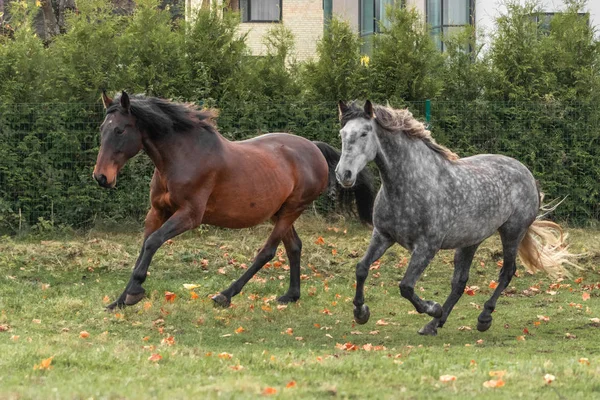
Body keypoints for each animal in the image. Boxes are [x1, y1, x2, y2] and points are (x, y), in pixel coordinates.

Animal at [94, 91, 376, 310]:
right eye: (101, 129)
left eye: (119, 130)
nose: (101, 177)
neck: (182, 156)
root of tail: (315, 148)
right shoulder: (157, 212)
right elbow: (144, 247)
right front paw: (121, 299)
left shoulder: (189, 215)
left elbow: (153, 242)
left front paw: (134, 292)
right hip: (280, 211)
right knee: (294, 247)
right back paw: (290, 296)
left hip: (292, 209)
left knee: (267, 252)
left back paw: (225, 295)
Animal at [336, 99, 576, 334]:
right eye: (342, 133)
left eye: (364, 133)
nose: (343, 174)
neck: (411, 184)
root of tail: (528, 174)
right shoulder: (382, 236)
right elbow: (361, 269)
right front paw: (361, 312)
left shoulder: (426, 247)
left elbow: (406, 286)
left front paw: (433, 307)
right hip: (470, 242)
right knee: (460, 283)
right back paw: (434, 325)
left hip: (512, 232)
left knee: (507, 272)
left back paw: (482, 318)